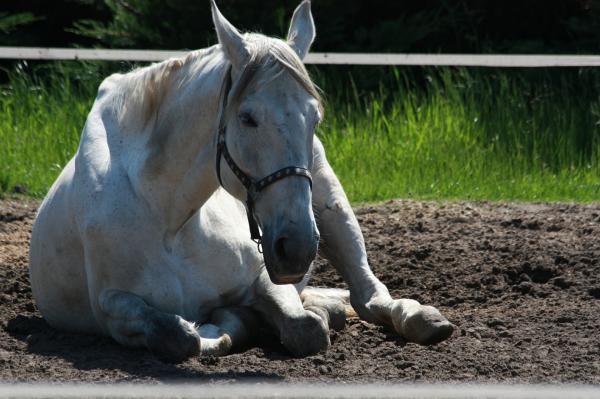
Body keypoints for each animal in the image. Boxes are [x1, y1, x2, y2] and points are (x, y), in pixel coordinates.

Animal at [27, 0, 450, 362]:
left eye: (315, 118)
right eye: (247, 118)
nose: (296, 248)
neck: (170, 219)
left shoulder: (263, 276)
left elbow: (305, 329)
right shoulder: (111, 306)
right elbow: (178, 335)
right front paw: (223, 326)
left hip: (331, 207)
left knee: (368, 293)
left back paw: (418, 317)